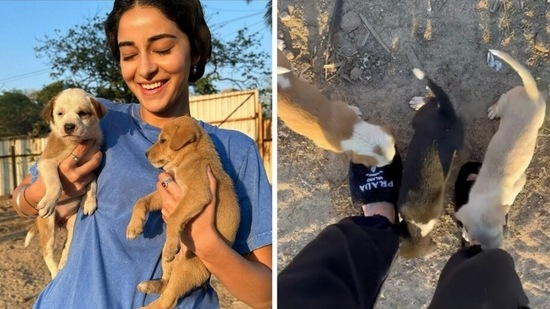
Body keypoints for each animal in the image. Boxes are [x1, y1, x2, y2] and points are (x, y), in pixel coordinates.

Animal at [25, 88, 107, 278]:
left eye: (83, 113)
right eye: (60, 114)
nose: (68, 126)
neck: (74, 143)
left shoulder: (93, 166)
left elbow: (92, 185)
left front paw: (89, 202)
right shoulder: (47, 163)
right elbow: (56, 183)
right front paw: (49, 200)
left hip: (73, 221)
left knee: (67, 244)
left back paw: (64, 261)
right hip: (48, 224)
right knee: (47, 253)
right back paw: (55, 273)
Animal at [128, 115, 243, 308]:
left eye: (163, 140)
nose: (145, 154)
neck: (191, 157)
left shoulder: (197, 193)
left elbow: (175, 216)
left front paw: (170, 246)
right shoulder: (164, 191)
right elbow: (141, 201)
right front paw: (133, 227)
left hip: (186, 268)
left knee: (168, 299)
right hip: (170, 265)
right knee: (166, 284)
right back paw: (151, 284)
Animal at [458, 49, 548, 249]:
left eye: (499, 232)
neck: (489, 195)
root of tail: (531, 93)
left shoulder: (520, 182)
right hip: (509, 99)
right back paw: (493, 111)